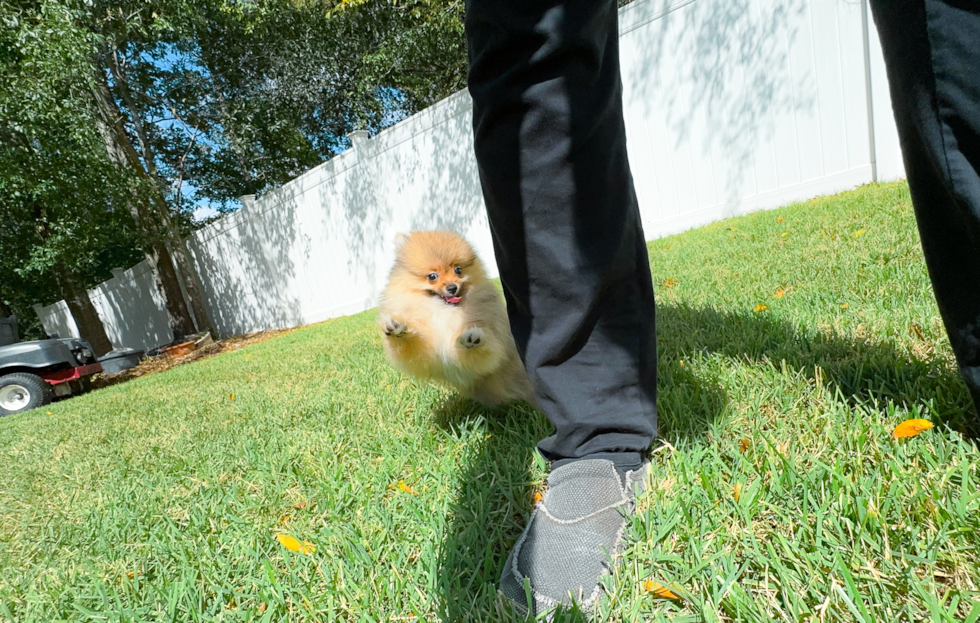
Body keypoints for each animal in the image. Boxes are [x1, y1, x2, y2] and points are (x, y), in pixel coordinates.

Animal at [380, 232, 536, 408]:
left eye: (458, 270)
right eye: (432, 276)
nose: (452, 288)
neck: (445, 312)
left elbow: (485, 354)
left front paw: (472, 337)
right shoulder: (427, 353)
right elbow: (412, 347)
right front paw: (398, 328)